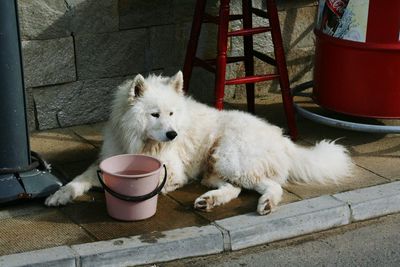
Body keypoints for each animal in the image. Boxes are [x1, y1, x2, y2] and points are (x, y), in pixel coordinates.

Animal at [45, 71, 354, 216]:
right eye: (155, 114)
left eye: (171, 114)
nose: (173, 135)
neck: (141, 142)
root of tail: (283, 139)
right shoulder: (104, 161)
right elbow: (79, 179)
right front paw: (60, 195)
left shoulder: (172, 172)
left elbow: (154, 187)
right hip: (215, 169)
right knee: (234, 188)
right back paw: (209, 200)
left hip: (229, 157)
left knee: (269, 185)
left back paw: (265, 204)